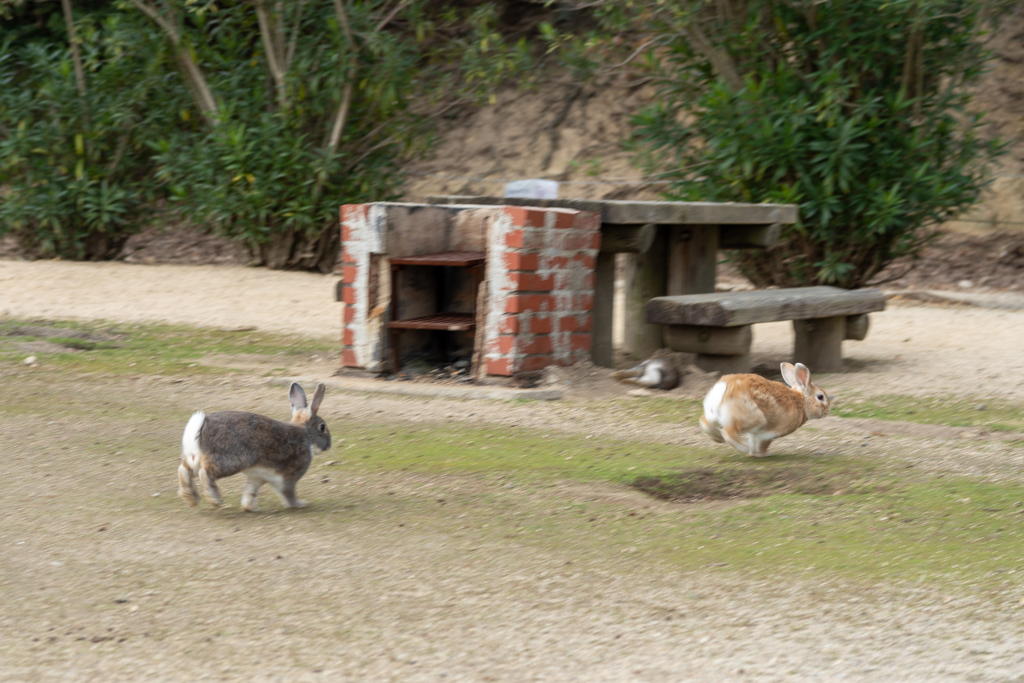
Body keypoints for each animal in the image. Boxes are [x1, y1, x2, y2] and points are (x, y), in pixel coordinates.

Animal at [177, 382, 331, 509]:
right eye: (322, 427)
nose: (329, 445)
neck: (306, 435)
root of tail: (198, 430)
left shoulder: (257, 477)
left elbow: (250, 491)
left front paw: (249, 508)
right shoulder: (290, 476)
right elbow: (288, 493)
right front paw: (299, 504)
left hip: (193, 460)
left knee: (183, 470)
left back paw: (191, 498)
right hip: (232, 461)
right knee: (204, 472)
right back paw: (214, 499)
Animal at [696, 360, 831, 456]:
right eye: (820, 397)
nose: (827, 411)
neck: (801, 401)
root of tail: (724, 388)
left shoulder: (754, 433)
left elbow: (754, 440)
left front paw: (753, 454)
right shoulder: (770, 432)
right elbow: (762, 443)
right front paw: (762, 454)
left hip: (713, 414)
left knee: (705, 423)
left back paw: (718, 438)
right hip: (754, 419)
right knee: (728, 432)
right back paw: (744, 447)